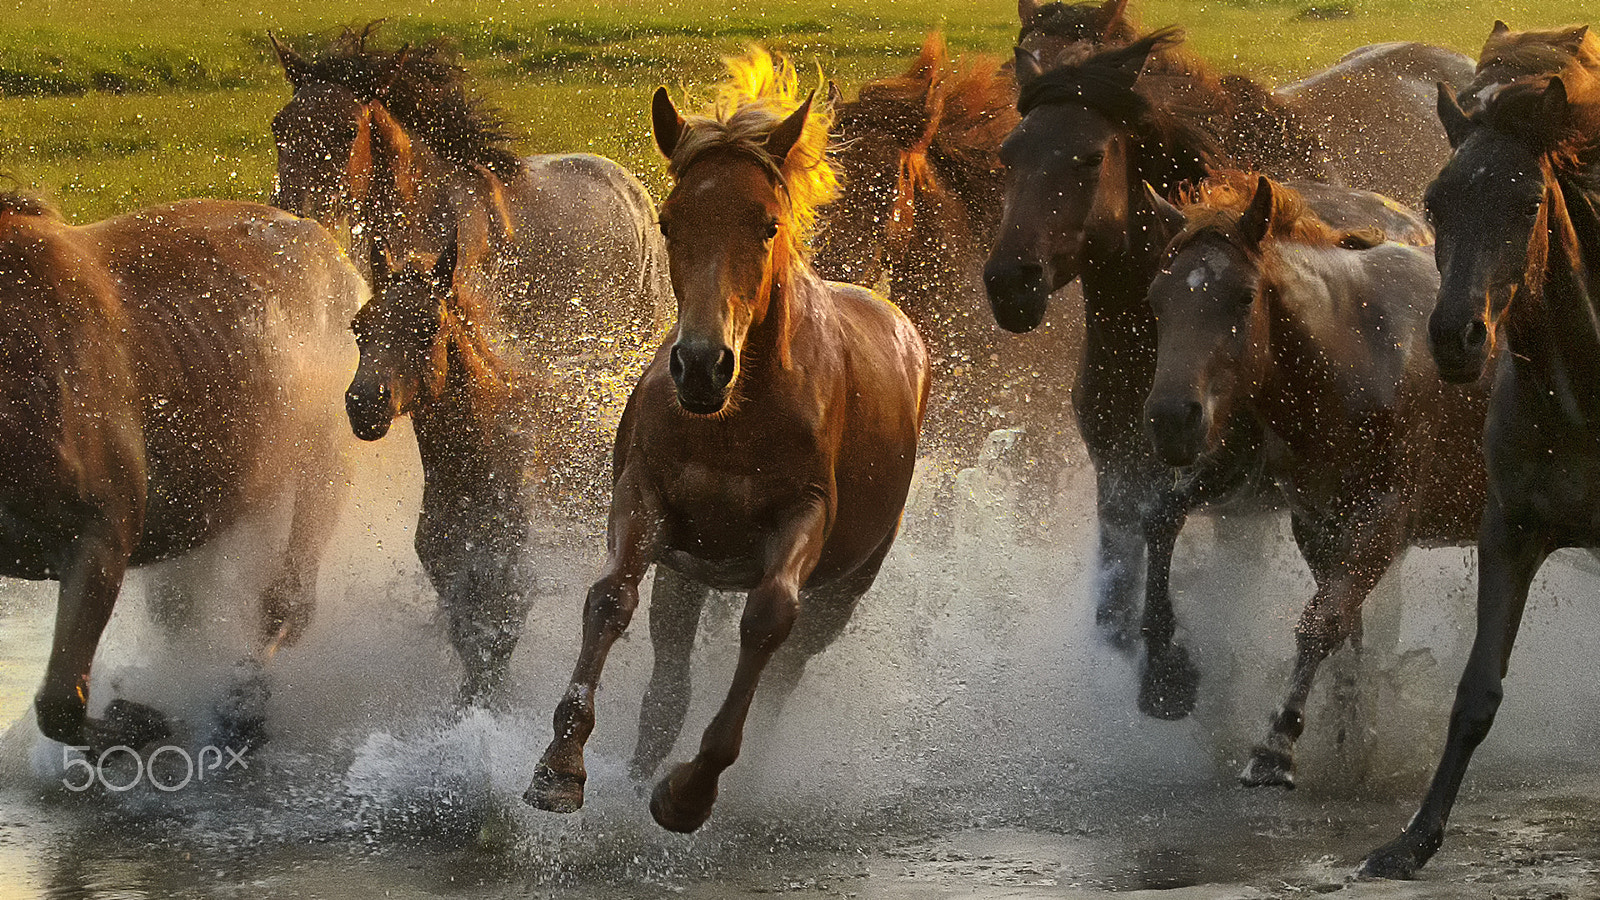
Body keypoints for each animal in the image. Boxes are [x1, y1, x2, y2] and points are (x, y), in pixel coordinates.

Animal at [0, 192, 364, 751]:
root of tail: (325, 242)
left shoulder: (102, 536)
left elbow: (61, 703)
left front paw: (141, 720)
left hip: (324, 457)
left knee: (286, 601)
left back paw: (242, 701)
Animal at [523, 50, 929, 833]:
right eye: (669, 220)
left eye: (768, 225)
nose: (702, 364)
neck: (734, 422)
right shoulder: (647, 496)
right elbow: (610, 600)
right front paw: (560, 768)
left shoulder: (802, 516)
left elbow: (768, 621)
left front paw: (689, 793)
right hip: (689, 575)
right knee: (668, 686)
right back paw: (637, 770)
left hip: (847, 585)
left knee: (785, 670)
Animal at [983, 31, 1430, 720]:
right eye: (1009, 154)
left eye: (1089, 156)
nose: (1010, 282)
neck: (1146, 354)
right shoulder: (1115, 475)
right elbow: (1116, 594)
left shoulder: (1225, 471)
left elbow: (1163, 522)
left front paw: (1169, 671)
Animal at [1141, 173, 1487, 787]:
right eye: (1159, 300)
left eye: (1244, 296)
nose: (1171, 419)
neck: (1357, 350)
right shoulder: (1315, 518)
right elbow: (1347, 628)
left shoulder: (1384, 518)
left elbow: (1321, 623)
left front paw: (1277, 744)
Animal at [1361, 35, 1600, 880]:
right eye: (1436, 202)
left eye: (1528, 203)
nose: (1455, 338)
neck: (1582, 395)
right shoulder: (1511, 531)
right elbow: (1475, 694)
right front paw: (1411, 840)